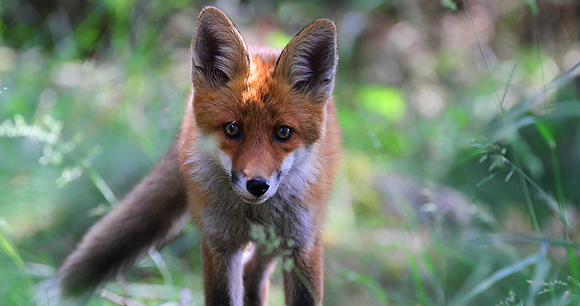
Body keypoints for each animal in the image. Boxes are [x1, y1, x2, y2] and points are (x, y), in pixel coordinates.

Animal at [44, 5, 340, 306]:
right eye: (232, 128)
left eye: (283, 132)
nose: (257, 185)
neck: (253, 213)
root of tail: (263, 47)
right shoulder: (218, 243)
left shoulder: (303, 244)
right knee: (251, 273)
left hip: (277, 242)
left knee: (254, 273)